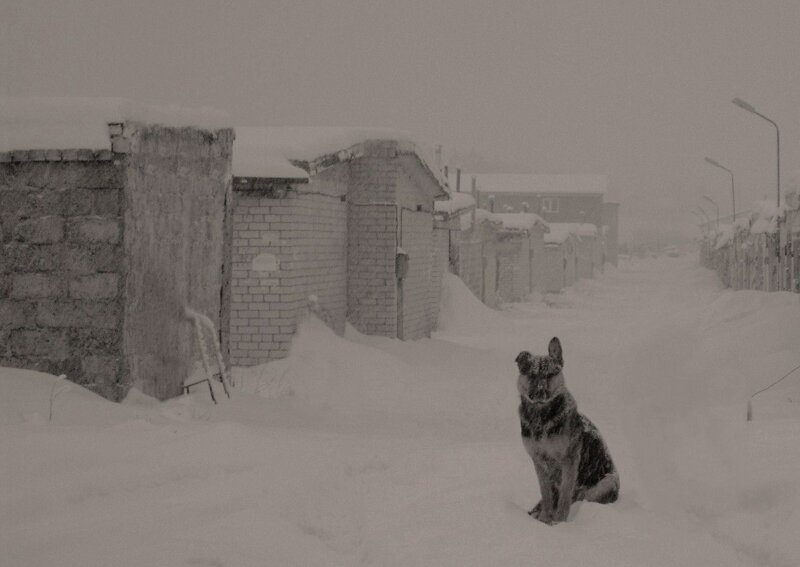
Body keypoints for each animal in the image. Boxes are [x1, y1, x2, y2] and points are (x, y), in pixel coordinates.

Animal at [516, 336, 620, 524]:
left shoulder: (569, 460)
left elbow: (565, 494)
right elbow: (546, 493)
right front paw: (544, 519)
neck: (541, 418)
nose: (540, 393)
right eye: (532, 375)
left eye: (550, 375)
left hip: (606, 483)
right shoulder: (538, 461)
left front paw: (559, 522)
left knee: (578, 496)